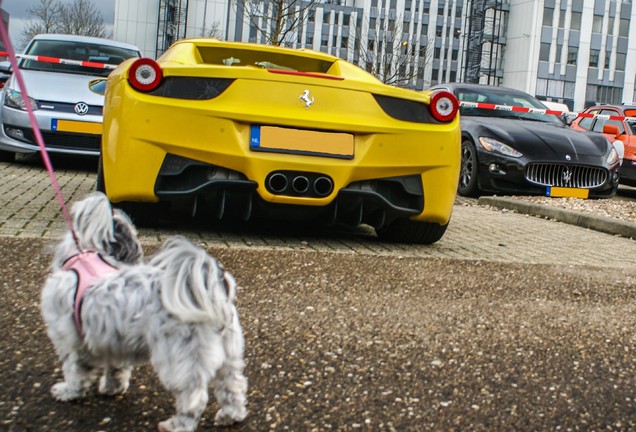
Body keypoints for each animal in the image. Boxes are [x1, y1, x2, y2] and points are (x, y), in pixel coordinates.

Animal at [39, 193, 247, 432]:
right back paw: (231, 415)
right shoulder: (113, 342)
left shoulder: (71, 342)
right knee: (233, 386)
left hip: (179, 360)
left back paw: (177, 424)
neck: (84, 259)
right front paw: (112, 387)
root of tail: (212, 290)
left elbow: (75, 371)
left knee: (194, 397)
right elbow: (116, 369)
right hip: (229, 356)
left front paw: (68, 391)